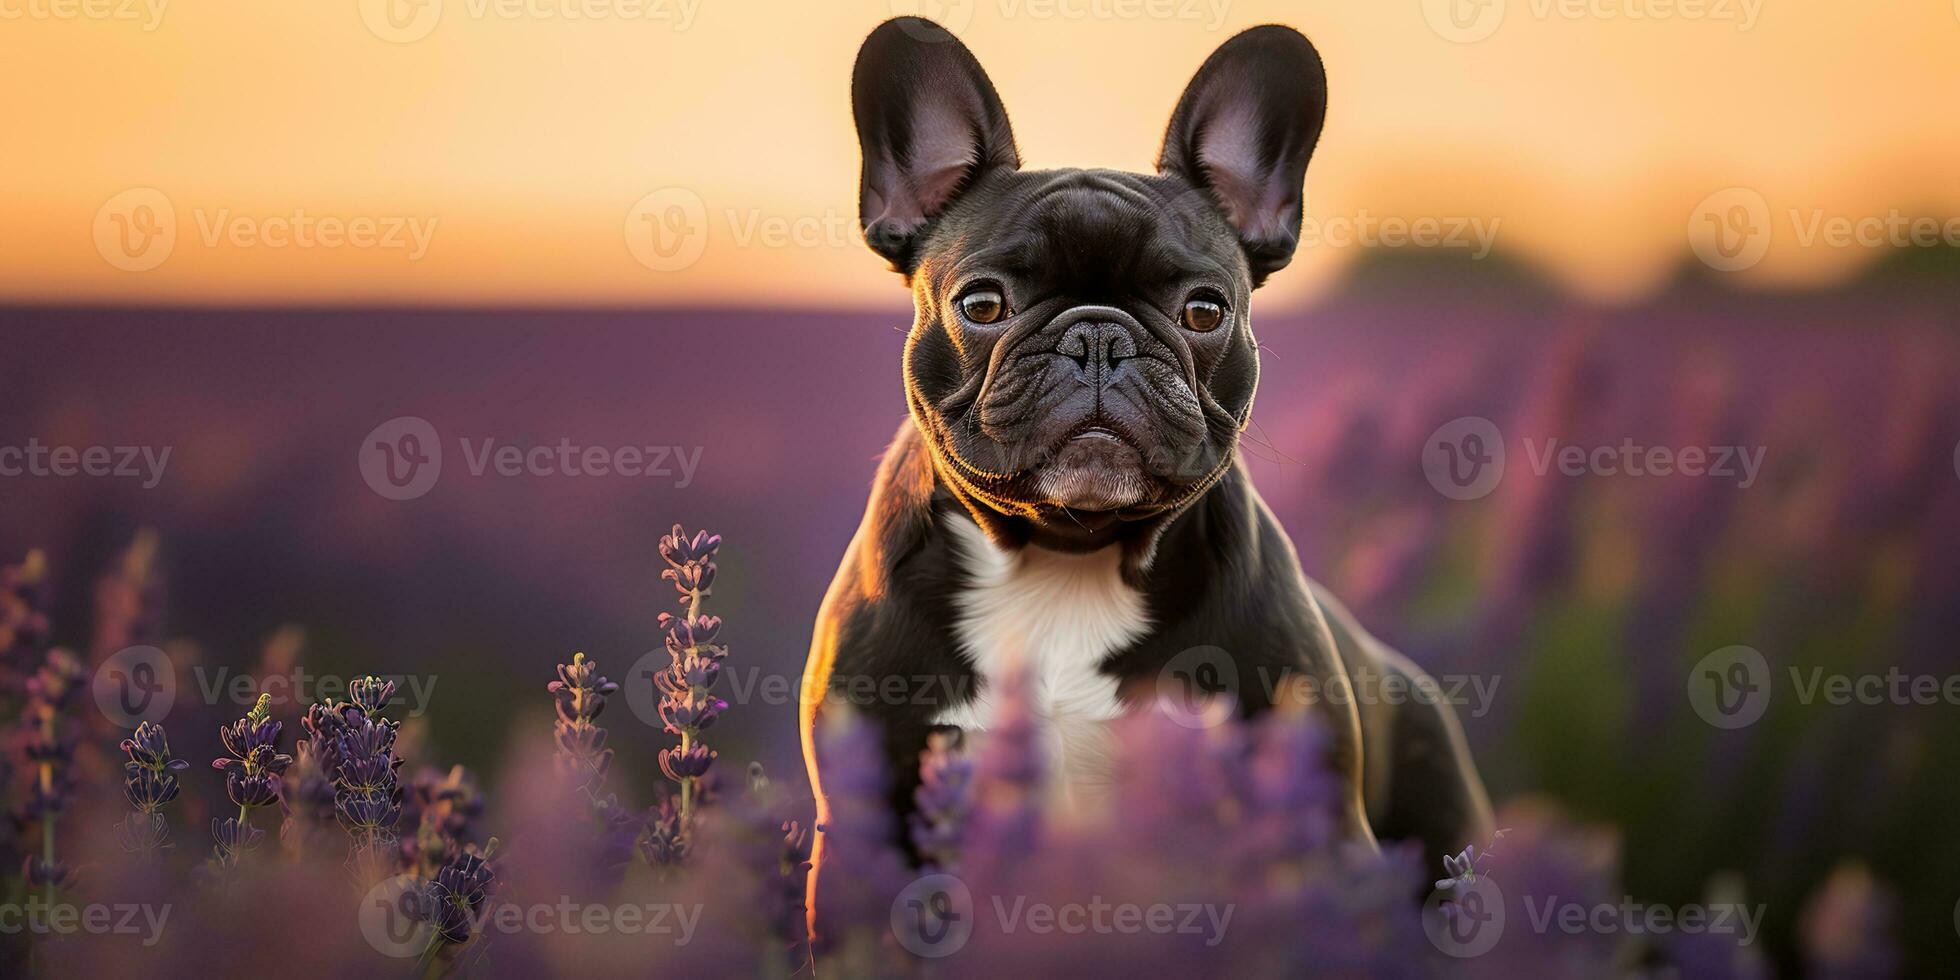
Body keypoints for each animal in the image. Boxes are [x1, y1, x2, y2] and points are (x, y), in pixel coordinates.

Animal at [795, 15, 1481, 917]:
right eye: (982, 304)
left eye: (1204, 310)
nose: (1098, 335)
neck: (1065, 559)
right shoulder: (870, 827)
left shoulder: (1320, 831)